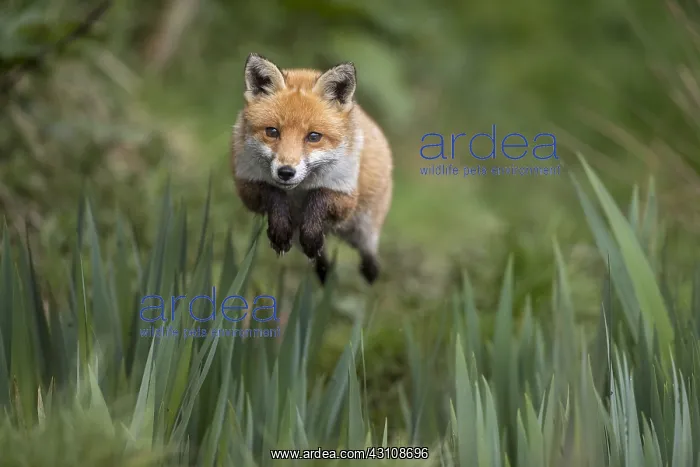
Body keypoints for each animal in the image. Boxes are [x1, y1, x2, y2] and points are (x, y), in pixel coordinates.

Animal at [230, 53, 393, 285]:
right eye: (272, 132)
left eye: (314, 136)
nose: (286, 172)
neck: (299, 190)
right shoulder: (247, 186)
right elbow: (273, 192)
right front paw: (280, 230)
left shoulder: (345, 195)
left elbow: (320, 195)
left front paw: (312, 232)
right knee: (321, 263)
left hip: (363, 230)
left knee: (369, 258)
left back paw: (369, 278)